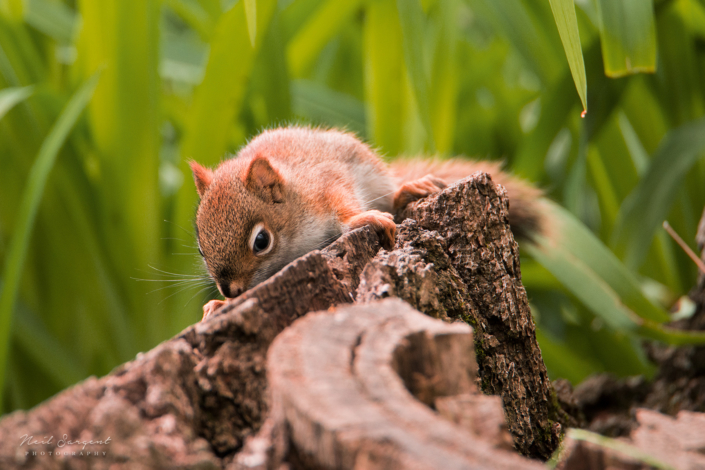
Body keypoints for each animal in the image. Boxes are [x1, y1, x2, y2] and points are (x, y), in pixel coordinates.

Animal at [187, 125, 540, 320]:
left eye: (261, 242)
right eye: (201, 249)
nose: (230, 289)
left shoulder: (326, 185)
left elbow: (344, 206)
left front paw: (363, 217)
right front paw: (217, 305)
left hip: (372, 170)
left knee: (392, 195)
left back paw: (407, 188)